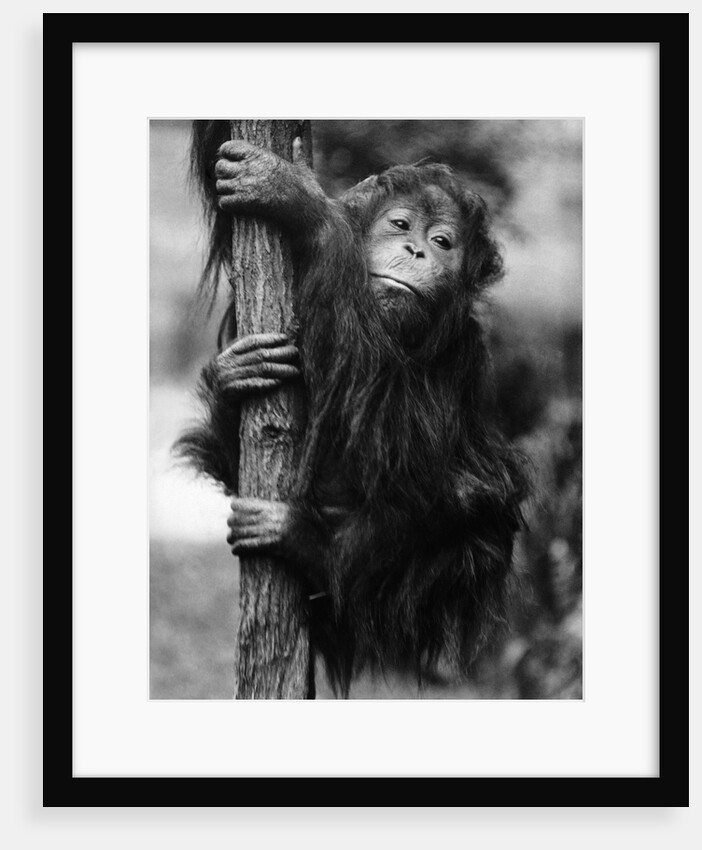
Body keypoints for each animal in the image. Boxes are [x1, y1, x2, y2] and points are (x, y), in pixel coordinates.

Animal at [177, 123, 529, 694]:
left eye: (442, 242)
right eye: (401, 225)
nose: (416, 250)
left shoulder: (464, 349)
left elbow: (400, 439)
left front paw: (298, 198)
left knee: (473, 492)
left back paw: (313, 548)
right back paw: (236, 379)